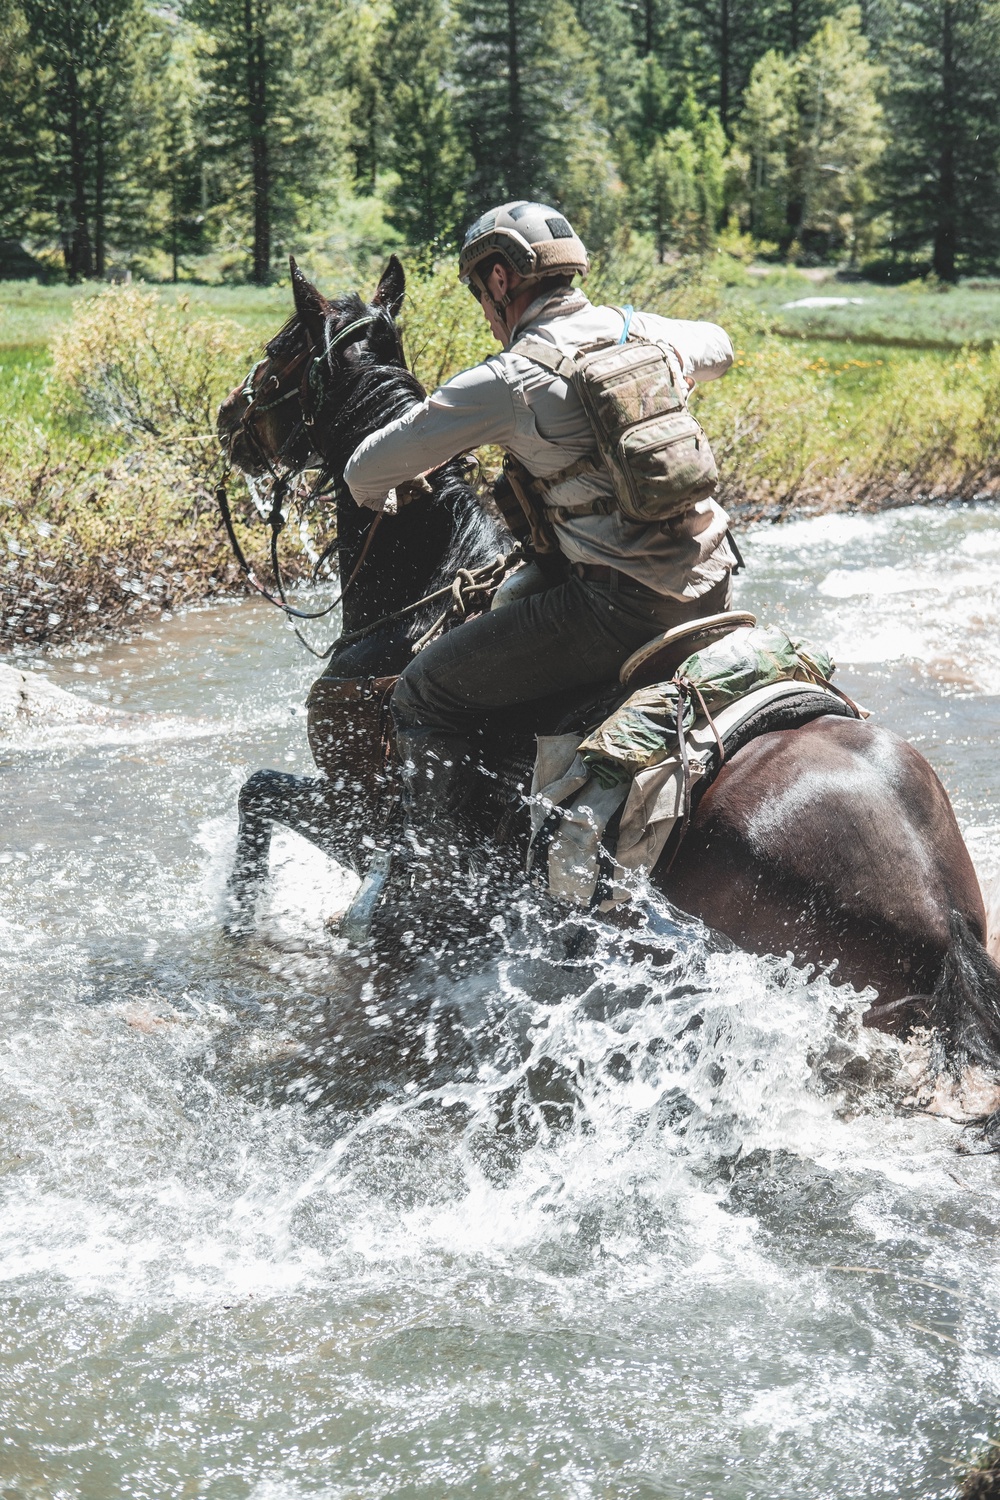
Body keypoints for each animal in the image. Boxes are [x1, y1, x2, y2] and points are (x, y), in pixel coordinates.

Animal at [217, 258, 1000, 1092]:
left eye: (280, 347)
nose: (230, 415)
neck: (423, 588)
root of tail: (941, 912)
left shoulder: (362, 807)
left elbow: (258, 794)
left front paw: (237, 926)